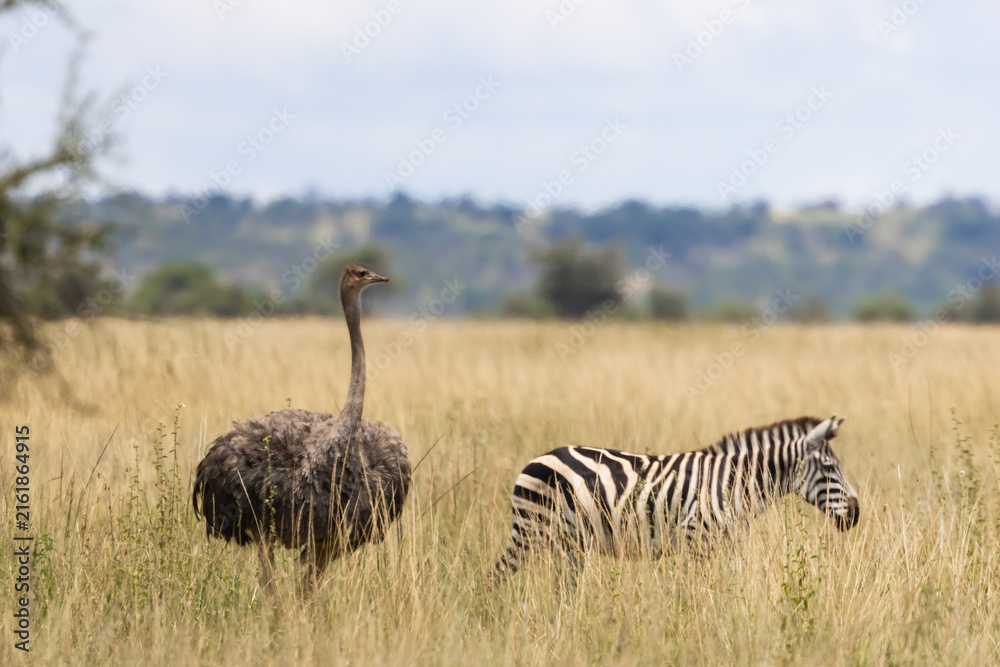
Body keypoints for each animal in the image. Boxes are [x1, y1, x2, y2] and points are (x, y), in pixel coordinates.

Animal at [491, 415, 859, 581]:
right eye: (829, 468)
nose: (856, 515)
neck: (733, 484)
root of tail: (537, 458)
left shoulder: (727, 543)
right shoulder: (696, 540)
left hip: (569, 542)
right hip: (530, 530)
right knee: (500, 572)